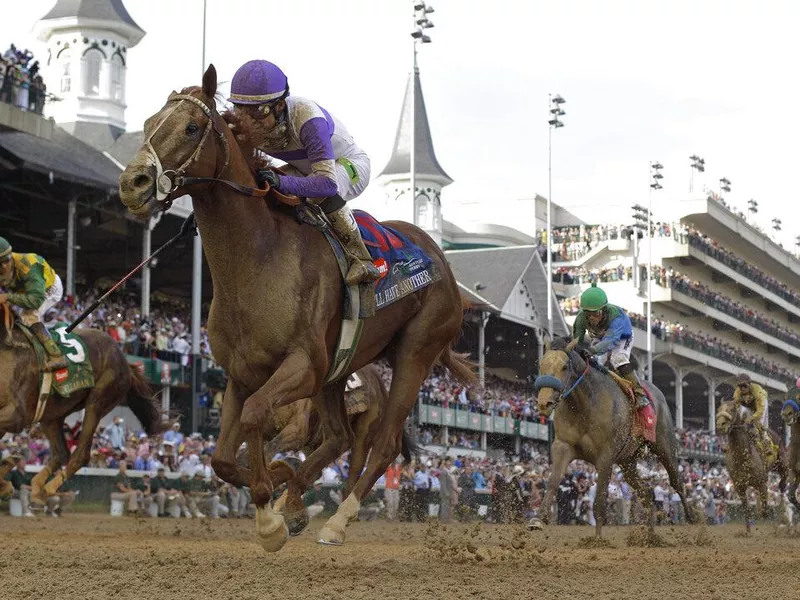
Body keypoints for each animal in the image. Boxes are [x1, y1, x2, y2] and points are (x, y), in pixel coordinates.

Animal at [0, 304, 162, 506]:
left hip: (99, 400)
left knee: (81, 454)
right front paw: (6, 479)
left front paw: (6, 478)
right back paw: (37, 489)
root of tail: (125, 361)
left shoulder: (16, 414)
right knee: (62, 452)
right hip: (52, 413)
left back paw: (46, 490)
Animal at [115, 64, 472, 548]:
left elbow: (255, 418)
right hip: (337, 372)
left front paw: (270, 512)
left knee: (381, 446)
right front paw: (278, 495)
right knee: (338, 437)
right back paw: (299, 501)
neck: (258, 262)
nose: (132, 184)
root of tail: (441, 262)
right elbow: (221, 457)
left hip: (415, 354)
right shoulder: (242, 373)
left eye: (191, 127)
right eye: (150, 122)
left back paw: (337, 521)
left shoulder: (302, 364)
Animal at [532, 338, 692, 540]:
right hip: (627, 462)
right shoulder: (563, 446)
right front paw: (538, 520)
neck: (585, 405)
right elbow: (553, 482)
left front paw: (598, 540)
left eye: (564, 367)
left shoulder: (605, 457)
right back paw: (649, 537)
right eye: (541, 365)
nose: (544, 403)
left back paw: (693, 520)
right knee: (647, 494)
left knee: (677, 481)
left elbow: (599, 500)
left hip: (664, 446)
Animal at [716, 400, 784, 532]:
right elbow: (747, 511)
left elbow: (764, 510)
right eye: (718, 409)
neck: (742, 458)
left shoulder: (762, 483)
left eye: (732, 409)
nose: (720, 425)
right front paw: (747, 531)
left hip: (782, 461)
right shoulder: (740, 487)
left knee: (785, 479)